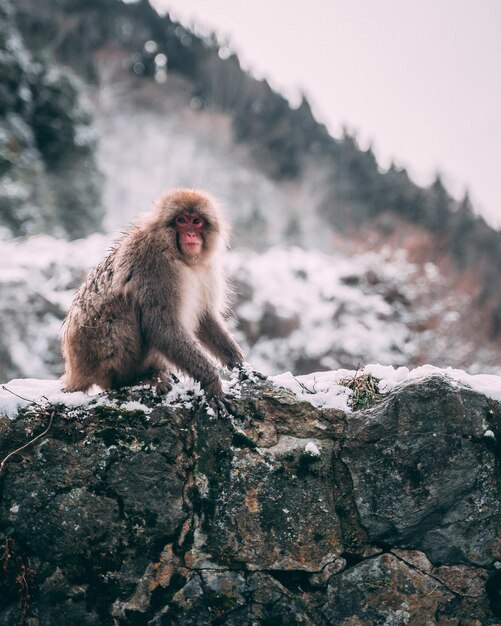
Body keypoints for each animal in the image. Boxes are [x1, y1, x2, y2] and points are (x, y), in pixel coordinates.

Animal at [60, 188, 244, 398]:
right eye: (181, 220)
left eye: (197, 221)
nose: (190, 234)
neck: (181, 257)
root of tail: (75, 371)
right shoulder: (156, 266)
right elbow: (161, 326)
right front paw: (212, 381)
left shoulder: (206, 270)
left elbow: (205, 318)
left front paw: (240, 366)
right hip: (100, 355)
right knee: (123, 313)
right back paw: (132, 380)